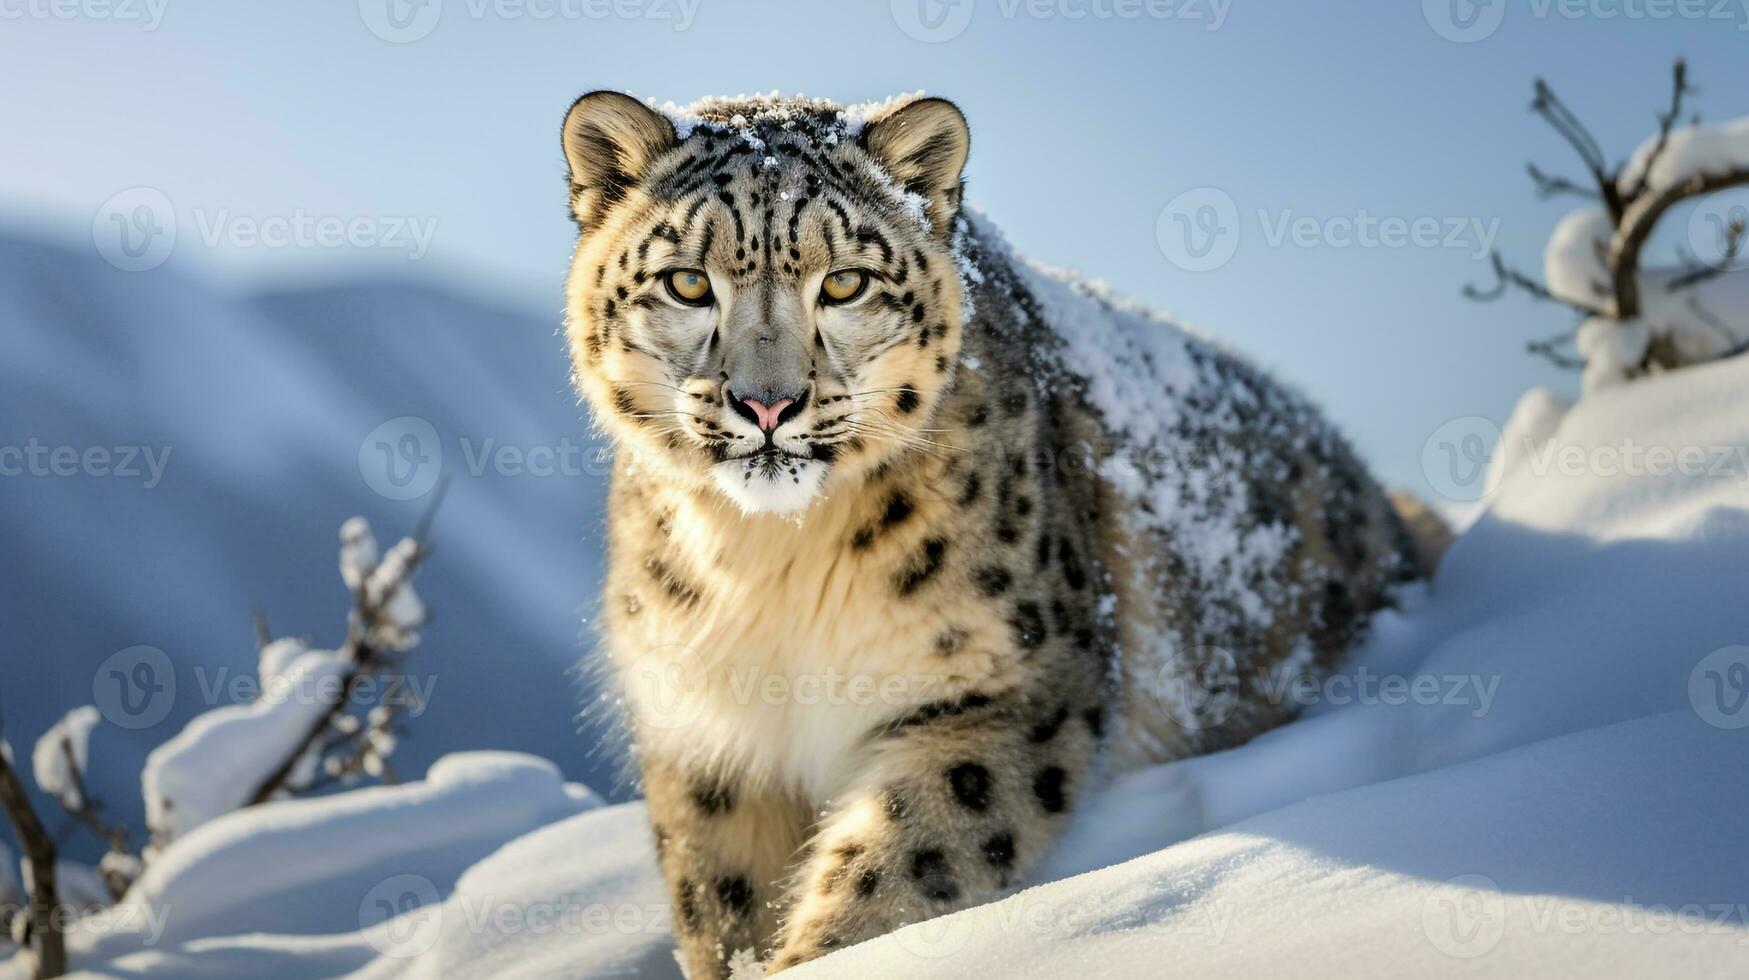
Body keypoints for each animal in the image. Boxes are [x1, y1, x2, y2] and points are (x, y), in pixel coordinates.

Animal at [559, 90, 1448, 973]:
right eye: (686, 282)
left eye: (844, 282)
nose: (766, 402)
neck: (772, 562)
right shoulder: (710, 738)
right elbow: (720, 903)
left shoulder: (1004, 689)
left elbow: (903, 866)